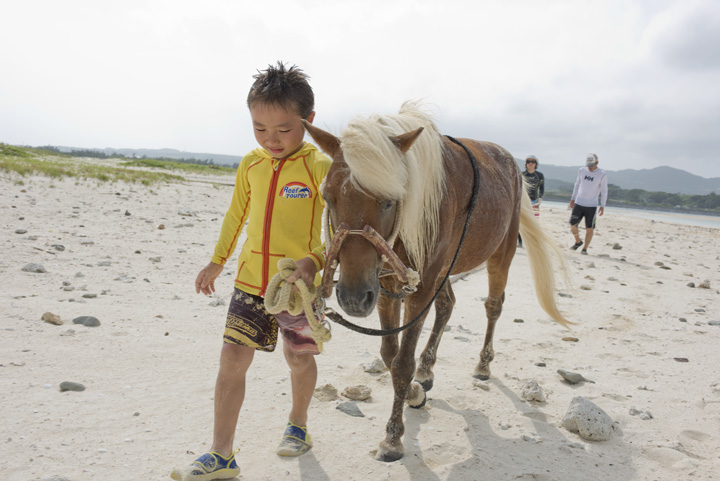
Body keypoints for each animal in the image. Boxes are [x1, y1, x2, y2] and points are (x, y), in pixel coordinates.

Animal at [304, 102, 572, 462]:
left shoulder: (417, 288)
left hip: (500, 253)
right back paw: (427, 370)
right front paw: (415, 391)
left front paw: (393, 437)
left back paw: (483, 364)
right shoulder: (386, 287)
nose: (352, 298)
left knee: (493, 306)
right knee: (447, 306)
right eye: (329, 197)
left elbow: (402, 362)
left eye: (389, 200)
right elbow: (389, 354)